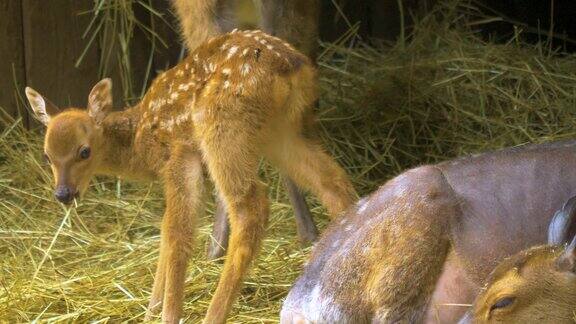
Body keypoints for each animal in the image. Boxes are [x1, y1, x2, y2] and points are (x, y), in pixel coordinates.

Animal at [24, 29, 356, 322]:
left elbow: (177, 230)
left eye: (85, 151)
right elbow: (166, 228)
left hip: (221, 125)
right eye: (46, 155)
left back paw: (214, 313)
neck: (140, 139)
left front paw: (167, 314)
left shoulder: (179, 154)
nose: (63, 193)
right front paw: (151, 310)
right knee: (332, 181)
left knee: (250, 207)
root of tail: (289, 65)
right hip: (279, 130)